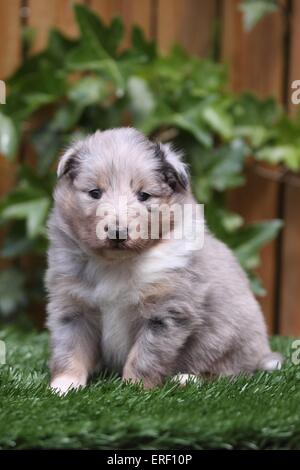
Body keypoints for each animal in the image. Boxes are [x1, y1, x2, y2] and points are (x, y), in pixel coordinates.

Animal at [45, 126, 282, 392]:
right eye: (95, 193)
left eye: (144, 195)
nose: (118, 232)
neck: (118, 263)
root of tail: (262, 354)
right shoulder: (73, 306)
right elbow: (70, 349)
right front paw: (63, 386)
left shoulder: (166, 312)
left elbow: (144, 356)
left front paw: (134, 388)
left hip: (228, 340)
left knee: (229, 373)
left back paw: (186, 378)